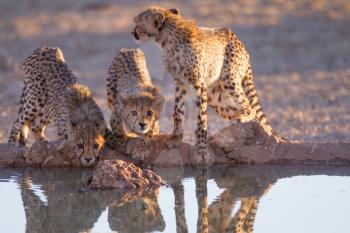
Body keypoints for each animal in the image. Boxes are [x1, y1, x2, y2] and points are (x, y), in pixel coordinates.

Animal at [133, 5, 286, 166]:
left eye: (137, 23)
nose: (133, 32)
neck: (168, 39)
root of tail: (236, 38)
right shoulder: (180, 82)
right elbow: (177, 111)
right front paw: (176, 137)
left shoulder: (200, 84)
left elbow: (201, 119)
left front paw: (201, 149)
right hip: (215, 96)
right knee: (241, 111)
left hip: (228, 80)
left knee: (249, 108)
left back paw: (242, 121)